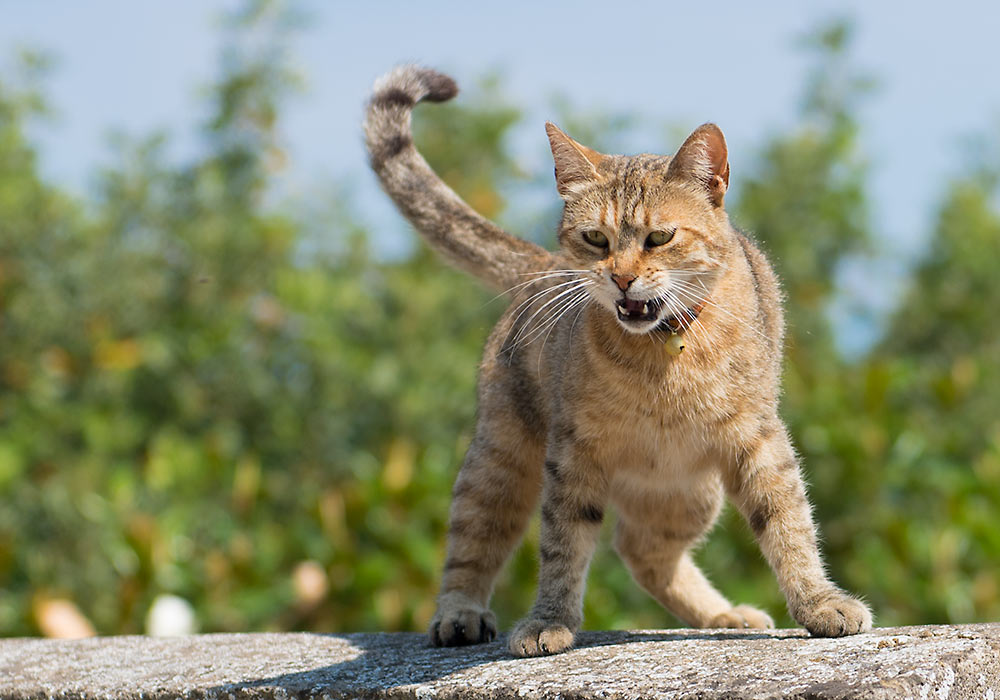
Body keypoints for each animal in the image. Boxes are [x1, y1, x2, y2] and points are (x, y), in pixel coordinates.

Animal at [364, 64, 872, 656]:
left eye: (660, 237)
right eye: (595, 238)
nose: (621, 277)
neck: (661, 357)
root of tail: (545, 267)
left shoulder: (758, 437)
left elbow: (788, 523)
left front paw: (819, 603)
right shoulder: (573, 453)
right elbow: (562, 544)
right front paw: (549, 620)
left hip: (687, 494)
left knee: (643, 550)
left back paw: (722, 614)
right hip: (500, 459)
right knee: (476, 536)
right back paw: (459, 613)